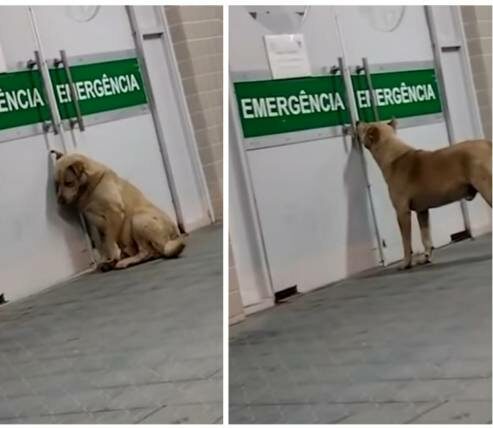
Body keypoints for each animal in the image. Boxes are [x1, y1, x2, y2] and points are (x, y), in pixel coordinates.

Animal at [51, 150, 184, 270]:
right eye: (57, 184)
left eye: (69, 183)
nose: (59, 201)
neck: (91, 187)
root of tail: (174, 235)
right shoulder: (94, 224)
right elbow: (101, 244)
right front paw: (106, 259)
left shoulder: (114, 213)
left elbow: (109, 240)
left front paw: (113, 256)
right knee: (152, 253)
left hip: (137, 220)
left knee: (146, 252)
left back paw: (124, 262)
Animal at [356, 118, 490, 270]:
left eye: (366, 127)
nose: (357, 121)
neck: (393, 156)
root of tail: (487, 144)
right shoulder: (422, 211)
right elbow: (425, 237)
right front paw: (427, 258)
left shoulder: (402, 212)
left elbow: (406, 242)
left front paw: (406, 263)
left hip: (487, 188)